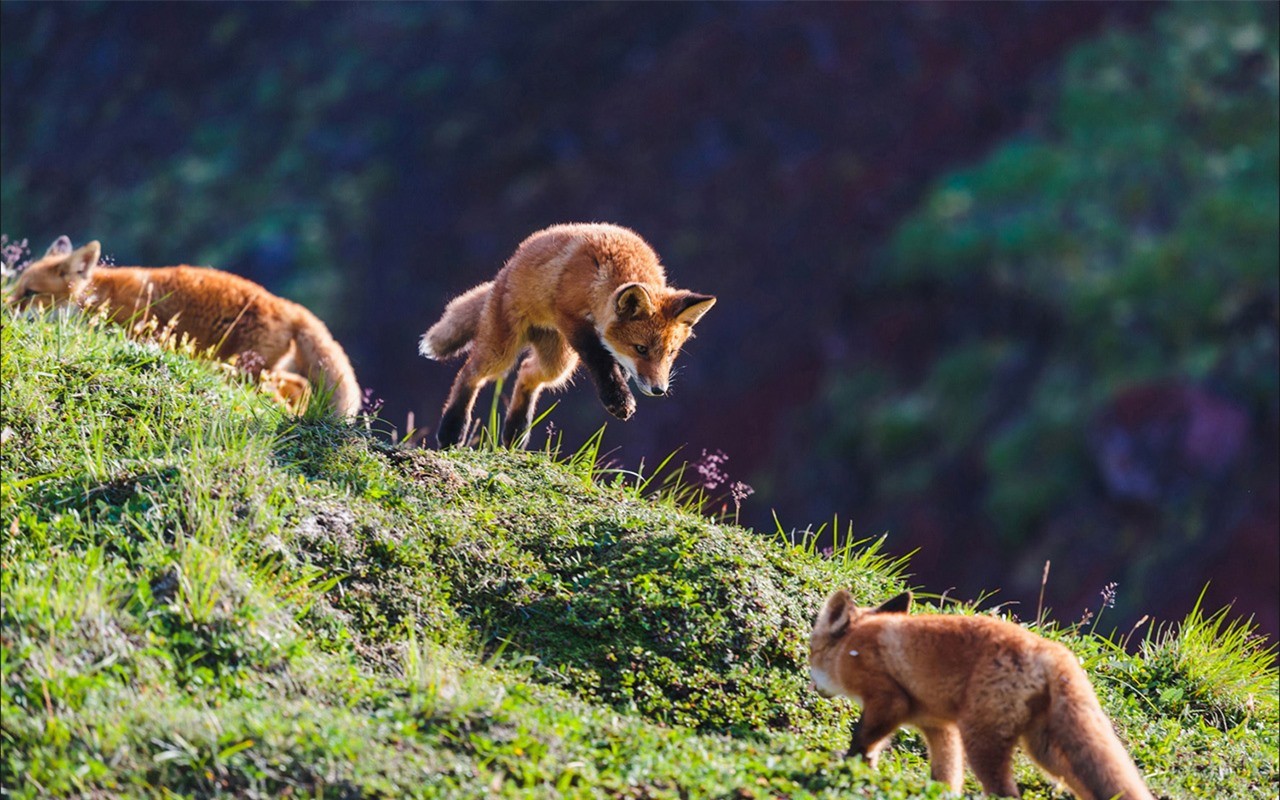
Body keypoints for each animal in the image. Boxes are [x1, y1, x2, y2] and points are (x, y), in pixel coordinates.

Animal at [8, 235, 360, 417]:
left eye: (30, 293)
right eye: (16, 288)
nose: (4, 310)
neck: (98, 296)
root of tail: (289, 305)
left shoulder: (142, 331)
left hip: (244, 371)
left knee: (287, 392)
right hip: (253, 371)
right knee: (299, 386)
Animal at [422, 222, 716, 450]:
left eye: (670, 353)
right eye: (640, 349)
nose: (659, 390)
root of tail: (504, 272)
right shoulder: (571, 319)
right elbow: (600, 360)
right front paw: (618, 398)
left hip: (557, 363)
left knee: (527, 373)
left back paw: (516, 432)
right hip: (501, 352)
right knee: (470, 373)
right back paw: (452, 430)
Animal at [808, 586, 1162, 798]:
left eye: (811, 653)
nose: (813, 686)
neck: (850, 645)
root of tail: (1051, 652)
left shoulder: (889, 700)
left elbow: (862, 739)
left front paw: (848, 767)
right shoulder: (938, 727)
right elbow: (946, 777)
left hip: (981, 740)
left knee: (1006, 793)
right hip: (1047, 751)